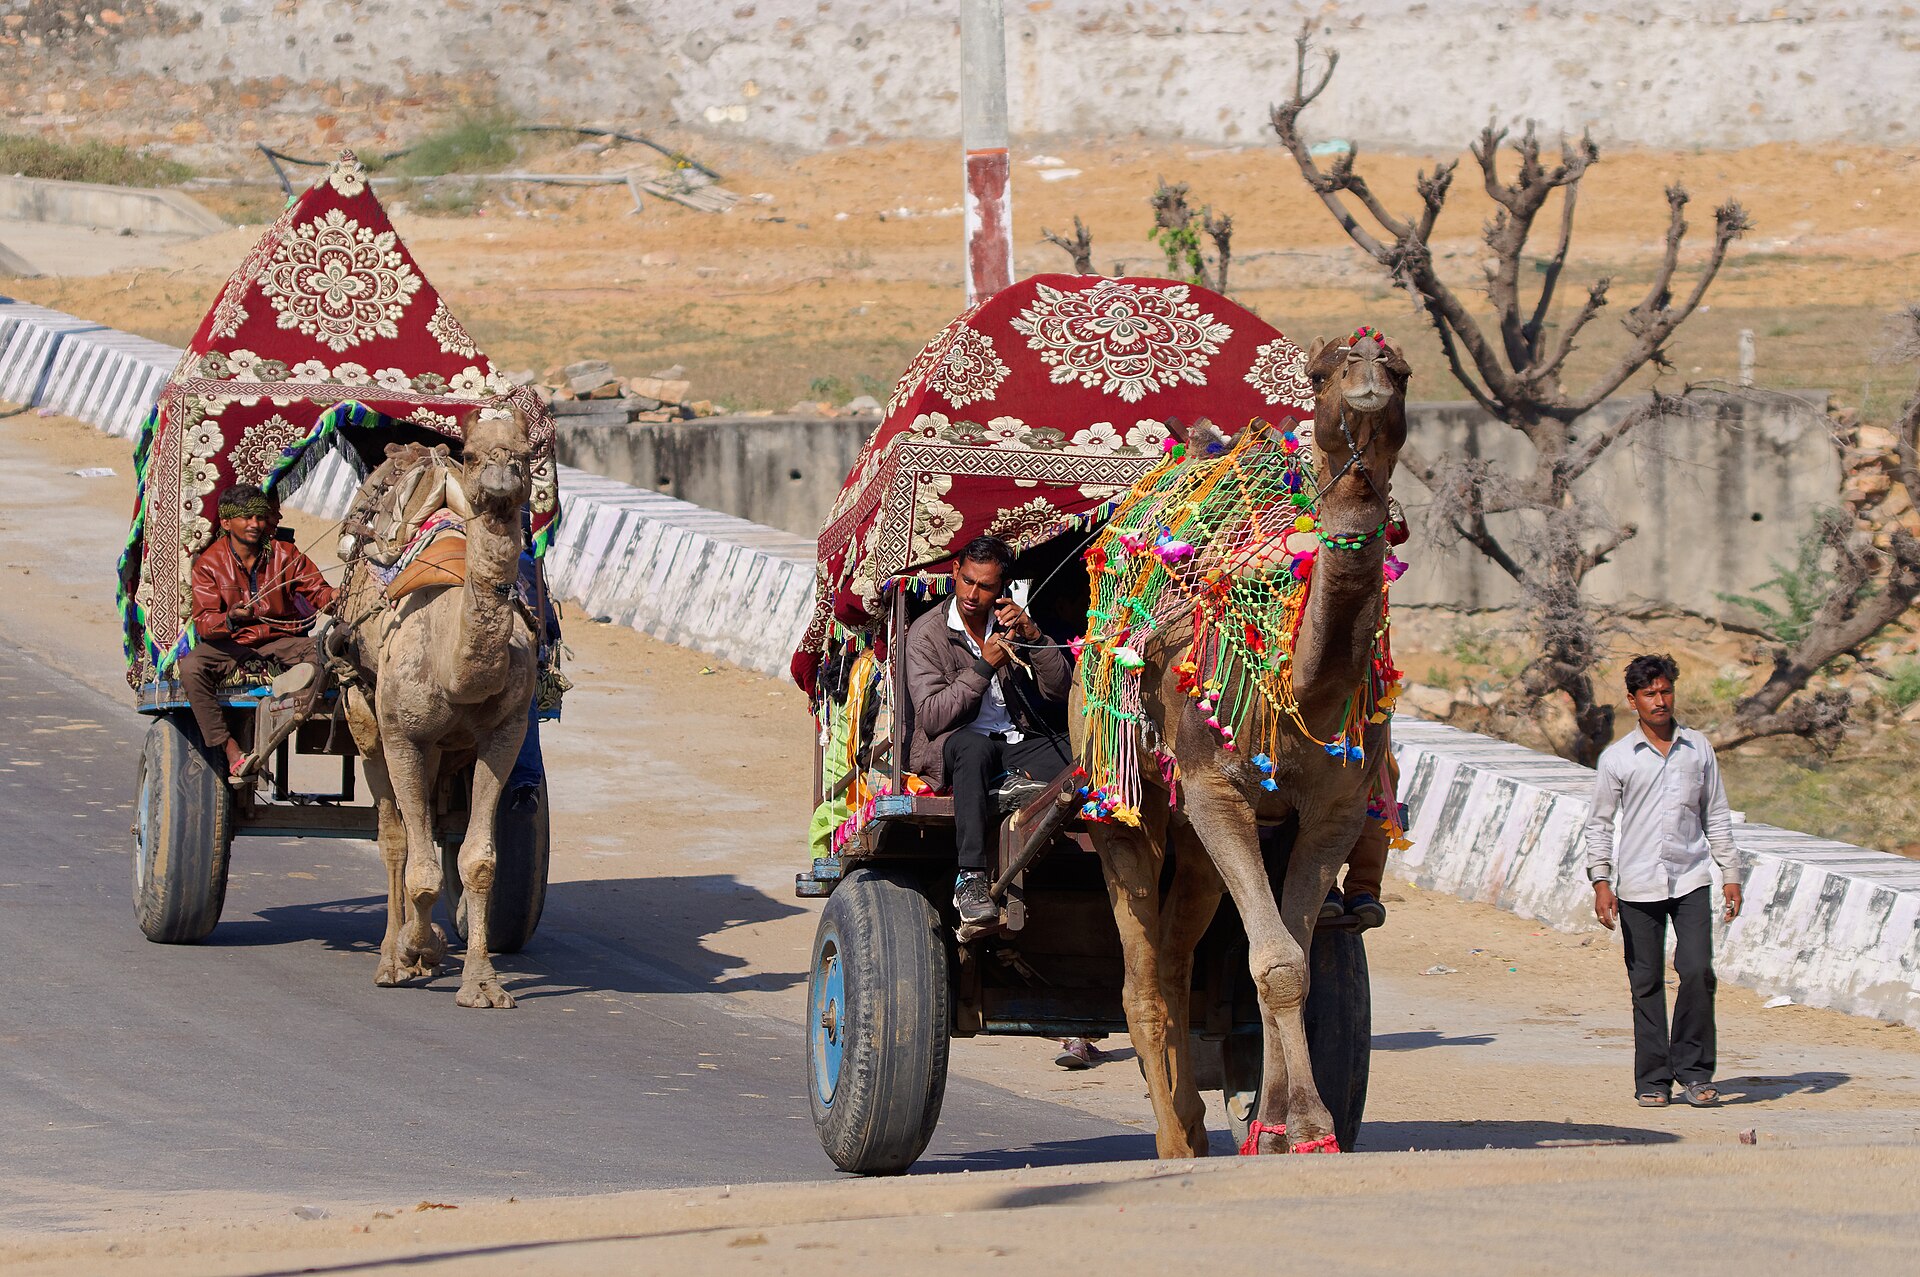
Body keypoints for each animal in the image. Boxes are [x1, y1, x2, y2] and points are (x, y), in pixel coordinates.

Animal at [338, 404, 539, 1009]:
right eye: (472, 454)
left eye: (525, 454)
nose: (499, 480)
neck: (455, 670)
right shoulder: (401, 733)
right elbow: (417, 859)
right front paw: (414, 950)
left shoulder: (505, 733)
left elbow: (478, 861)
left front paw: (482, 983)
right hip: (365, 715)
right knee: (395, 836)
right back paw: (391, 955)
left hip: (442, 750)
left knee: (425, 819)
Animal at [1072, 331, 1409, 1156]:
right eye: (1320, 372)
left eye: (1402, 370)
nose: (1369, 385)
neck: (1302, 684)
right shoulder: (1215, 783)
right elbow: (1276, 959)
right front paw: (1301, 1125)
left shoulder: (1333, 808)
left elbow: (1290, 960)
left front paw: (1288, 1123)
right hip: (1120, 799)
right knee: (1141, 976)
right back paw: (1172, 1140)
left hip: (1194, 842)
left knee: (1177, 960)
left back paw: (1195, 1123)